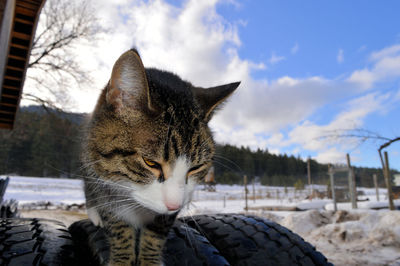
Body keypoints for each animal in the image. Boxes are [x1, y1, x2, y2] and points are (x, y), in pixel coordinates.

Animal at [81, 48, 238, 264]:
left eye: (196, 168)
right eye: (151, 163)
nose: (174, 205)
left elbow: (156, 233)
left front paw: (149, 259)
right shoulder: (104, 179)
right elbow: (118, 227)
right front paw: (122, 258)